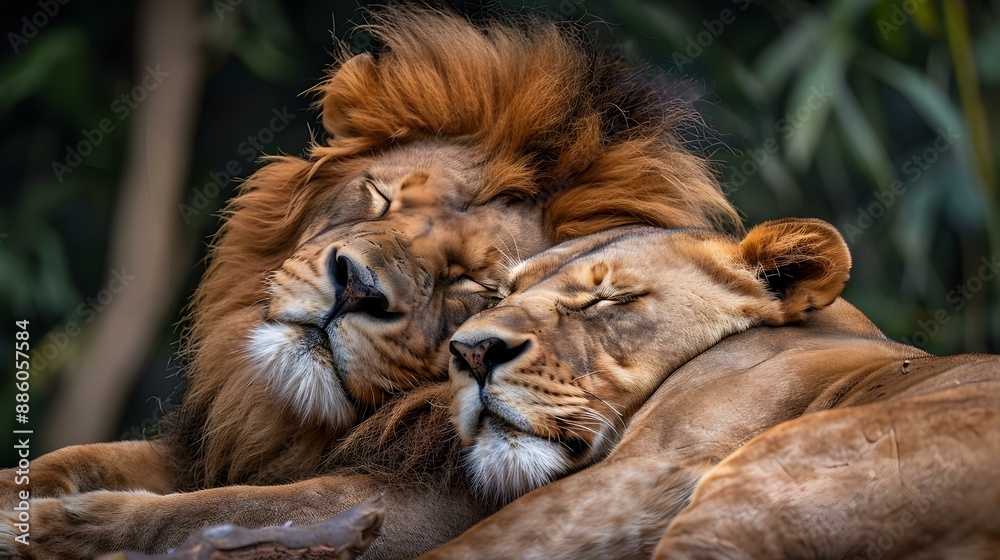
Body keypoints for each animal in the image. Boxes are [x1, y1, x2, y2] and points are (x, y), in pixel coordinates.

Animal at [0, 7, 739, 559]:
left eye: (475, 283)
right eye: (383, 197)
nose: (356, 288)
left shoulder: (420, 511)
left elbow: (216, 513)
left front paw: (52, 527)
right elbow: (76, 459)